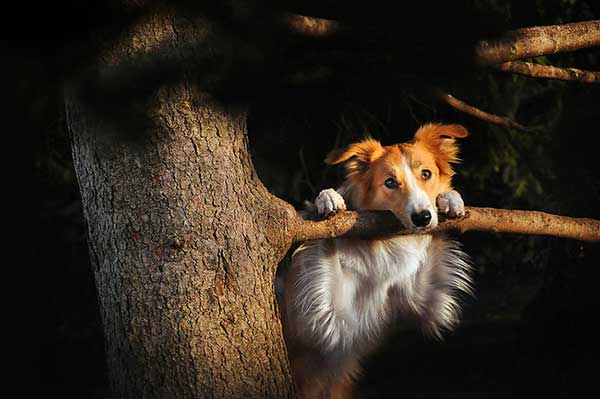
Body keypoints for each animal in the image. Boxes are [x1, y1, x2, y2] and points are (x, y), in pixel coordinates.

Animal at [280, 123, 474, 398]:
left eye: (426, 174)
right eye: (390, 182)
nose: (422, 218)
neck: (382, 244)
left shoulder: (425, 298)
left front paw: (450, 198)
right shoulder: (327, 318)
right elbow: (327, 239)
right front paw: (327, 200)